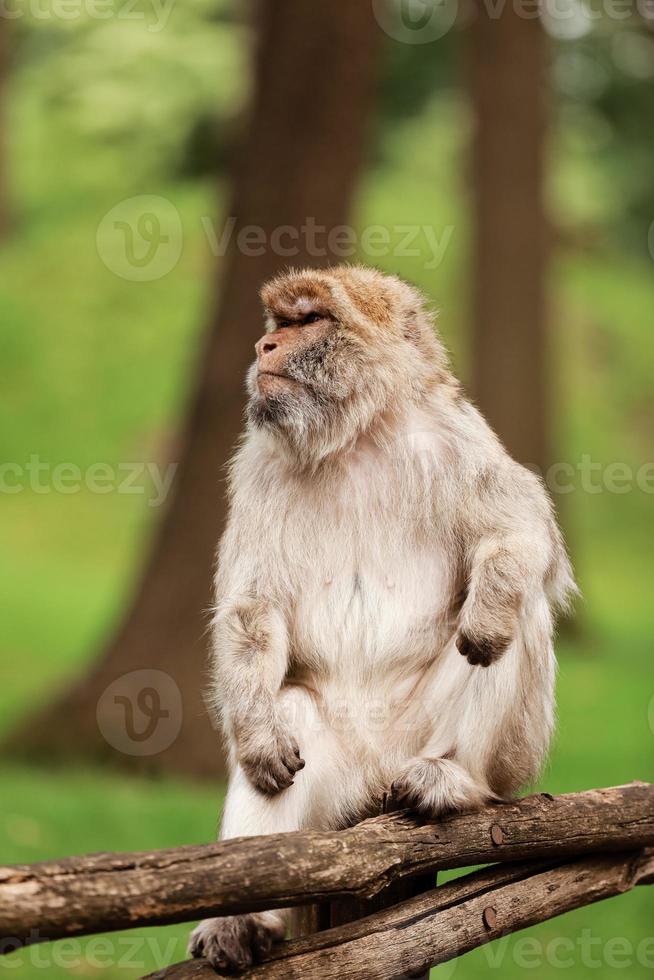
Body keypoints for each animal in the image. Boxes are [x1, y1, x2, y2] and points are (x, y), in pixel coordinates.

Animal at [191, 264, 580, 968]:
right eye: (280, 323)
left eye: (310, 320)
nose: (264, 347)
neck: (357, 436)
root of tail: (373, 781)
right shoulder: (258, 464)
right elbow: (253, 611)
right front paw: (258, 735)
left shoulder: (456, 436)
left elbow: (522, 534)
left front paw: (489, 610)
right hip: (335, 787)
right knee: (291, 712)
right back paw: (244, 918)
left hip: (467, 751)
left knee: (521, 615)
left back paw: (454, 780)